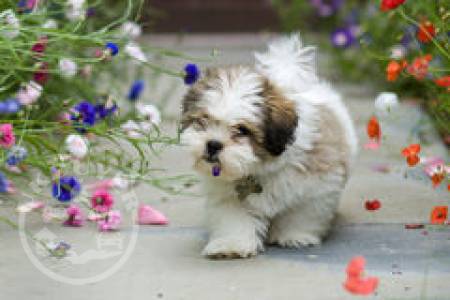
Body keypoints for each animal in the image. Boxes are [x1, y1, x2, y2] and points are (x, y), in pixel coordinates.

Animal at [181, 34, 356, 258]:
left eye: (242, 130)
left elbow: (302, 212)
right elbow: (234, 220)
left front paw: (294, 236)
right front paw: (231, 244)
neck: (258, 168)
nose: (213, 144)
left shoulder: (317, 186)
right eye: (203, 121)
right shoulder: (230, 197)